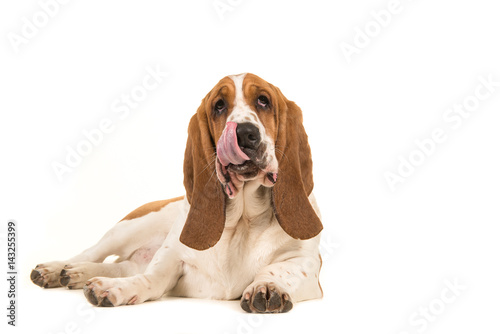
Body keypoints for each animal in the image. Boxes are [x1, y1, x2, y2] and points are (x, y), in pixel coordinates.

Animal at [30, 73, 324, 314]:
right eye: (219, 106)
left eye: (263, 101)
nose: (244, 133)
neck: (243, 219)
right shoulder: (171, 255)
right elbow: (150, 279)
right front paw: (117, 288)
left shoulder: (308, 266)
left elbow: (279, 269)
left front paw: (267, 286)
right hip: (129, 228)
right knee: (92, 254)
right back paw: (58, 269)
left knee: (120, 265)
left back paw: (78, 274)